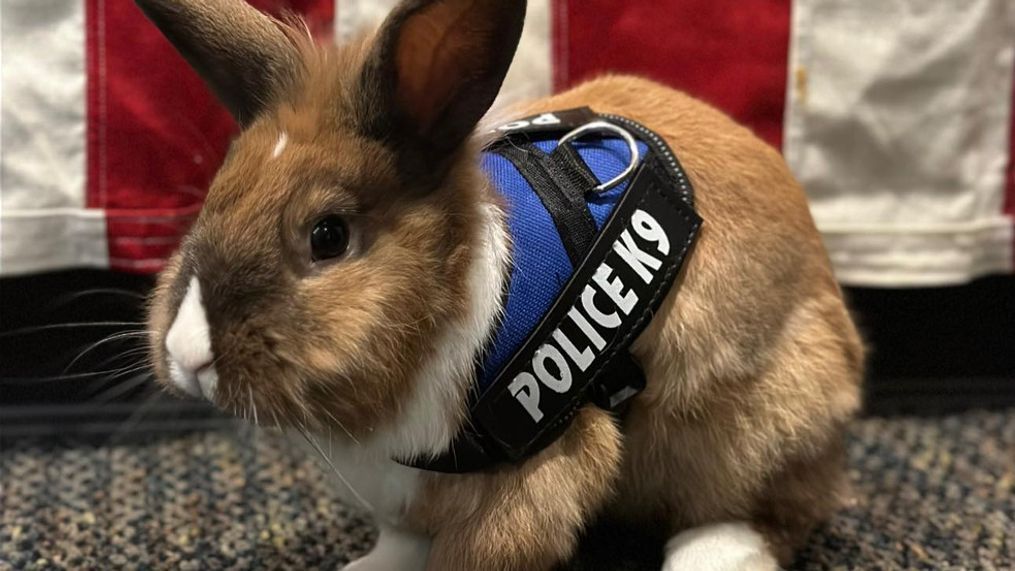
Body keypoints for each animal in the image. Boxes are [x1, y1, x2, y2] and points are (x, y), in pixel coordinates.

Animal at [143, 1, 864, 571]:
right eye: (214, 199)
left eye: (328, 236)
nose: (186, 353)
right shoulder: (403, 495)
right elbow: (401, 543)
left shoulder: (530, 480)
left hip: (753, 427)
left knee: (773, 508)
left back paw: (712, 555)